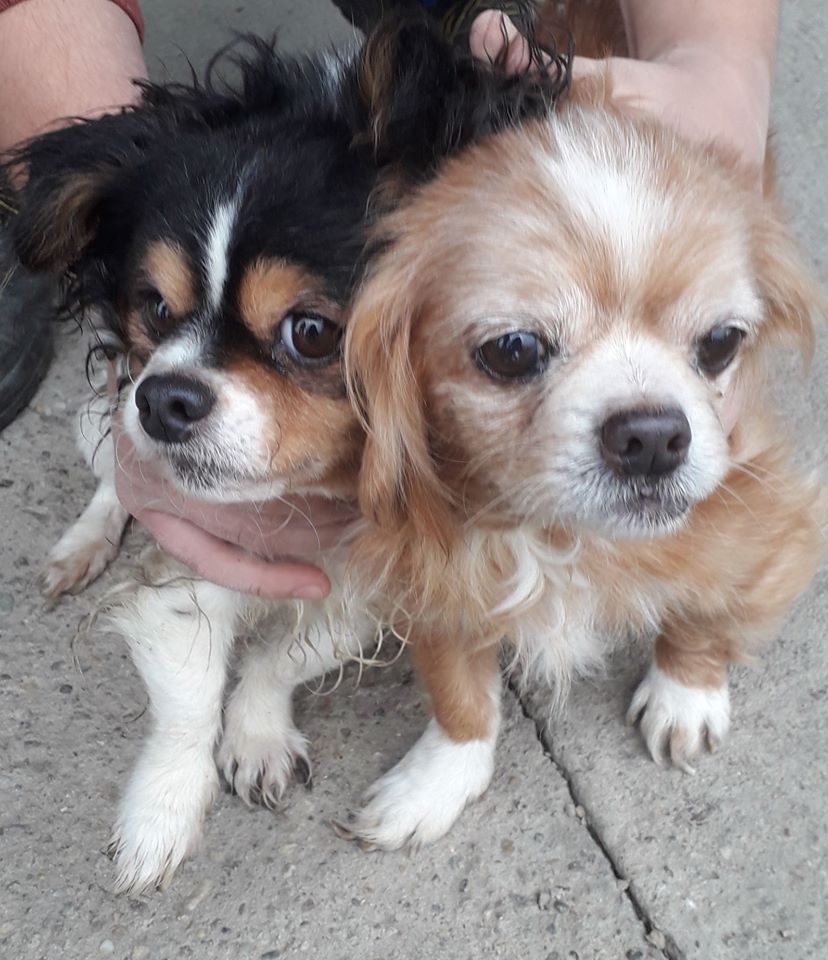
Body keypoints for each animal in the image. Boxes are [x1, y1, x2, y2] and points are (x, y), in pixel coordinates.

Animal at [342, 13, 825, 849]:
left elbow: (710, 608)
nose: (653, 435)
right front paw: (439, 776)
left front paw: (686, 693)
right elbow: (456, 685)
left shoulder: (760, 510)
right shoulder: (420, 560)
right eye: (512, 351)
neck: (559, 536)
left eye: (721, 343)